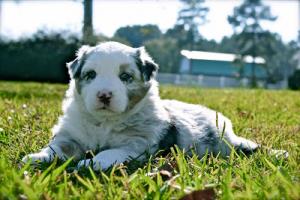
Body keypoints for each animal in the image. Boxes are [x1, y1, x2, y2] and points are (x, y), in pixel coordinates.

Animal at [21, 41, 288, 170]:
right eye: (91, 75)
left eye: (125, 77)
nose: (104, 95)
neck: (105, 122)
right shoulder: (71, 135)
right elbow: (58, 148)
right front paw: (37, 157)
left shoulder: (137, 144)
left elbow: (112, 152)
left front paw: (91, 163)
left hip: (226, 143)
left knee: (250, 148)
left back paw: (278, 153)